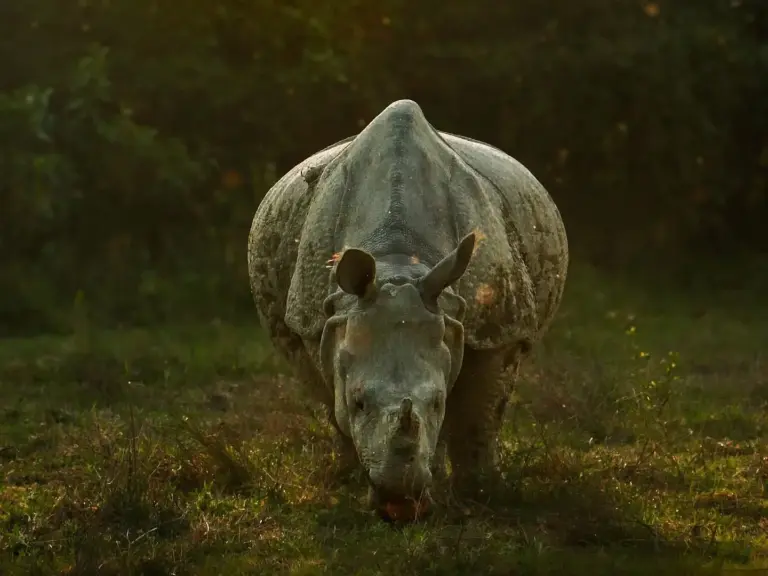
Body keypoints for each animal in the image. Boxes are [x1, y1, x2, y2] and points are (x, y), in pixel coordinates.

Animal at [247, 99, 568, 520]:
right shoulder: (321, 320)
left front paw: (482, 494)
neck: (397, 262)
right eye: (359, 402)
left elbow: (479, 415)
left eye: (437, 402)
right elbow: (336, 405)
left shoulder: (499, 327)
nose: (399, 501)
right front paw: (357, 487)